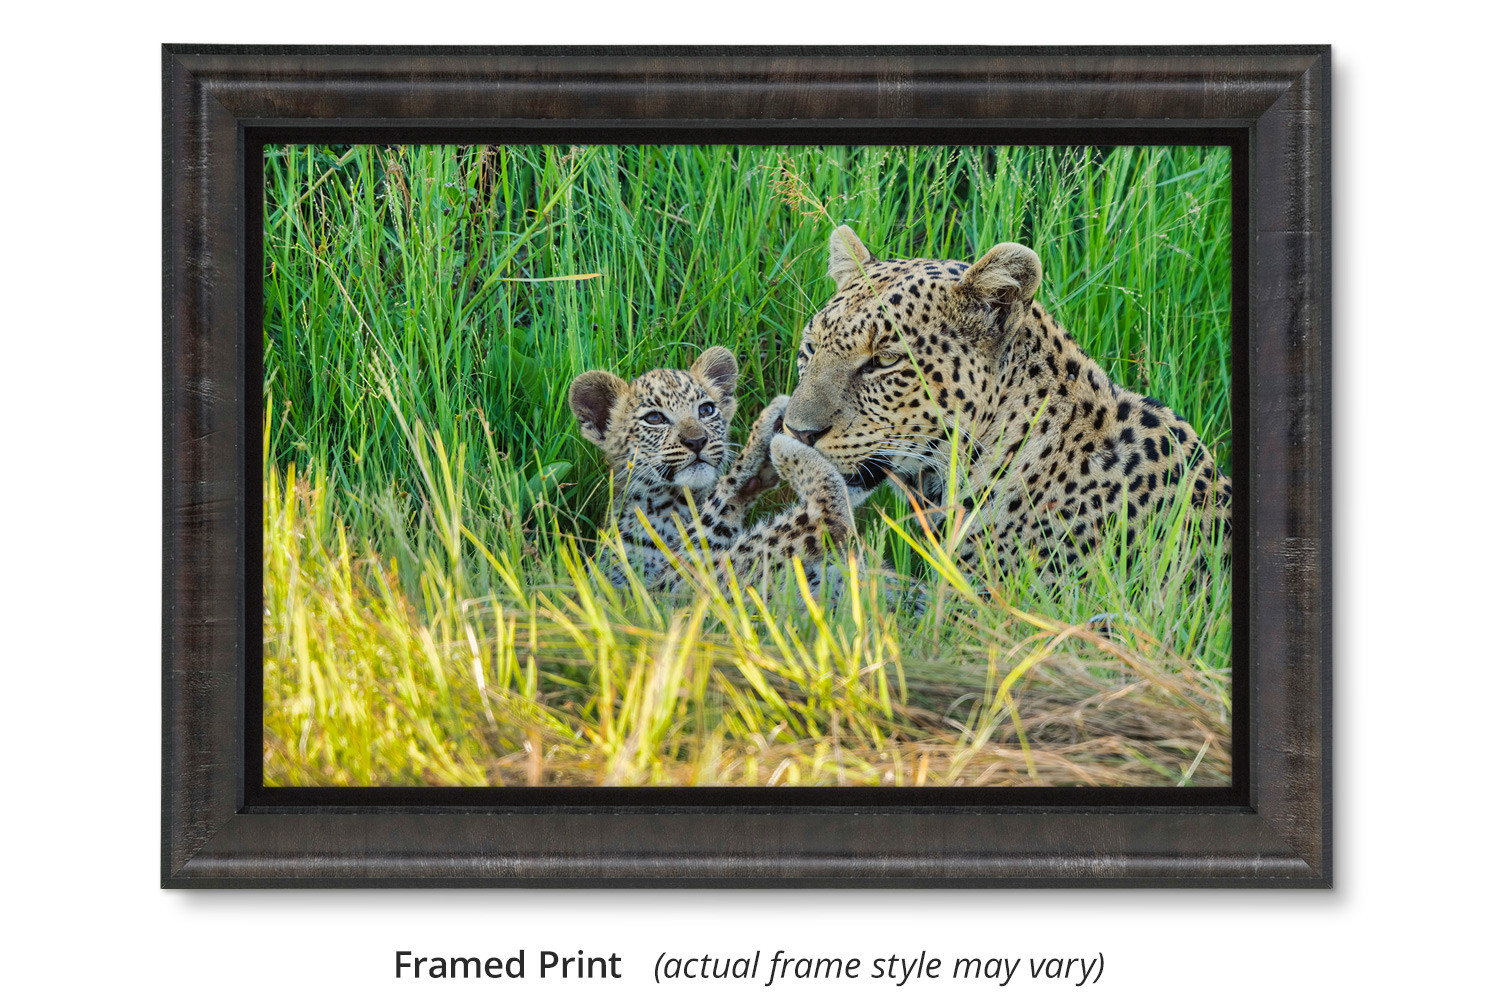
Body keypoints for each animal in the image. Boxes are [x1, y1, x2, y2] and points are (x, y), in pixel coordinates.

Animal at [569, 346, 854, 594]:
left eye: (706, 410)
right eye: (654, 418)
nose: (697, 441)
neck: (674, 504)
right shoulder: (668, 586)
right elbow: (722, 499)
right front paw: (767, 427)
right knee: (825, 518)